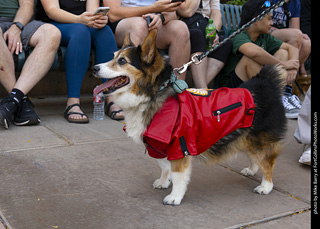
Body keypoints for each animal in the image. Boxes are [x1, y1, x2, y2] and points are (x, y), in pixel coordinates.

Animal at [92, 30, 288, 206]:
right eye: (114, 57)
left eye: (122, 61)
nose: (94, 68)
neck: (153, 94)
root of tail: (265, 83)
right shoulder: (160, 147)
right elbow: (164, 167)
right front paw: (163, 182)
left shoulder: (180, 147)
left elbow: (178, 176)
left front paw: (175, 197)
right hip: (247, 137)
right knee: (255, 157)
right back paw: (251, 170)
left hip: (260, 140)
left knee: (267, 162)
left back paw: (266, 186)